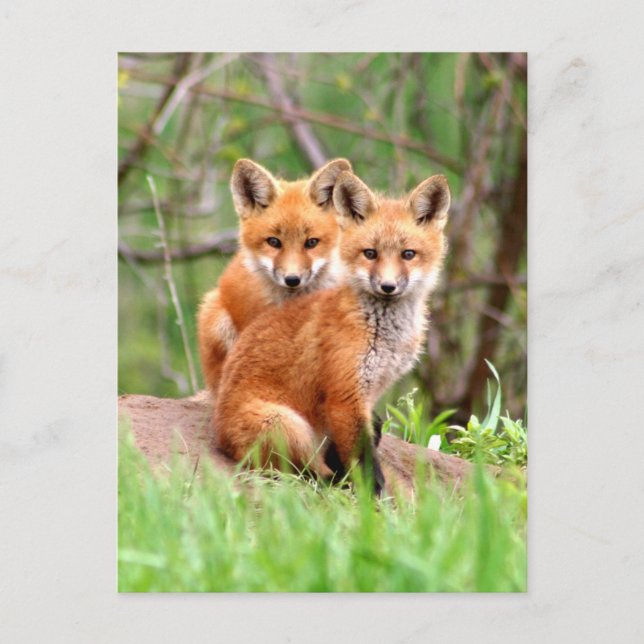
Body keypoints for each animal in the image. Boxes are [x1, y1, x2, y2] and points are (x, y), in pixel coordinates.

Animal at [215, 170, 451, 493]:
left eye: (408, 254)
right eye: (370, 254)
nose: (387, 286)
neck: (382, 334)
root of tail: (220, 439)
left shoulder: (368, 394)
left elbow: (361, 445)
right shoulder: (345, 395)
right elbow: (366, 464)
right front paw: (373, 499)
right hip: (287, 425)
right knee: (308, 475)